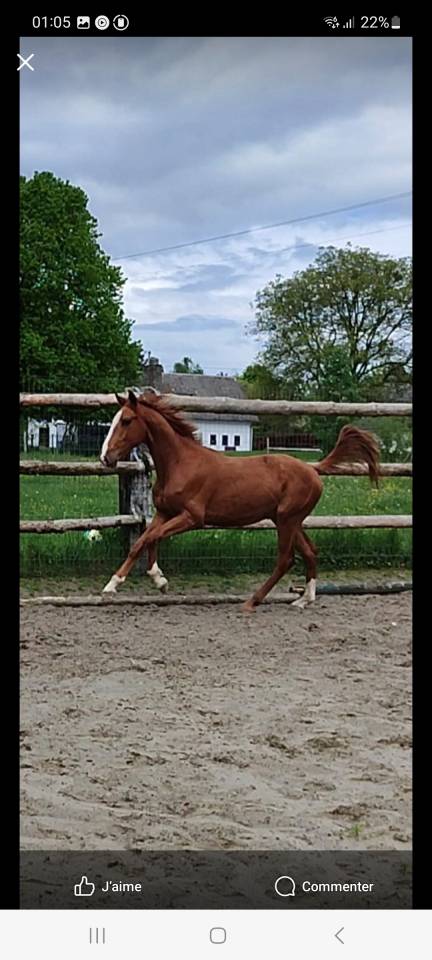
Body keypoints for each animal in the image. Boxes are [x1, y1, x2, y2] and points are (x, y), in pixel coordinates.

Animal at [100, 390, 379, 611]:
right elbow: (144, 541)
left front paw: (127, 584)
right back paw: (303, 600)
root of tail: (313, 469)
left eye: (126, 421)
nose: (105, 458)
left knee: (286, 559)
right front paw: (147, 582)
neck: (180, 464)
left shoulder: (193, 518)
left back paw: (252, 601)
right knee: (310, 552)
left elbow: (150, 537)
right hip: (289, 520)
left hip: (287, 520)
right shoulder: (164, 513)